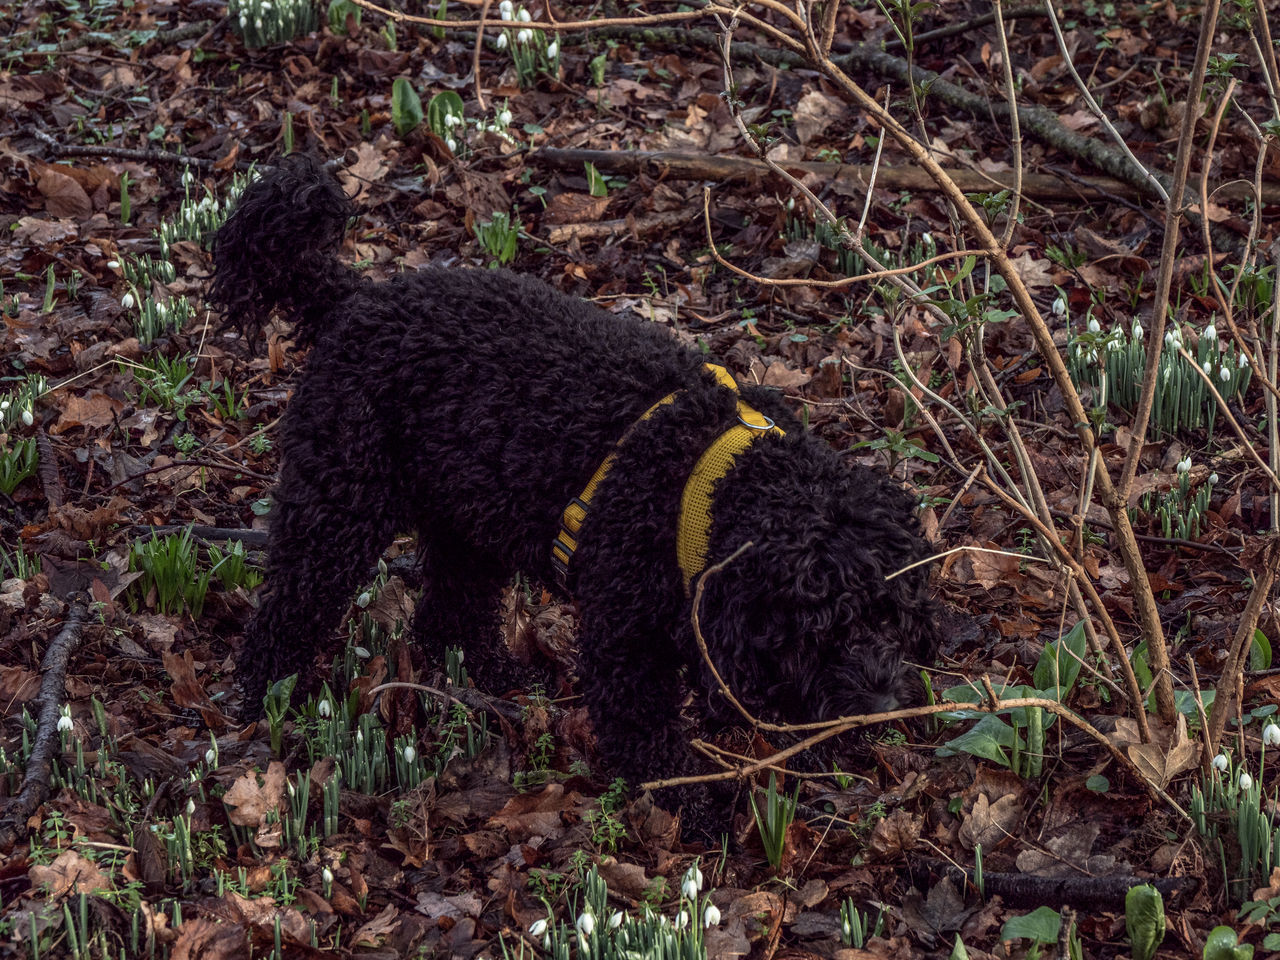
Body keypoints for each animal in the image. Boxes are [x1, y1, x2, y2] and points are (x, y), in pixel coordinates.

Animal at [212, 156, 942, 834]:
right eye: (821, 631)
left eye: (891, 619)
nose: (886, 709)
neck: (714, 480)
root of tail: (352, 298)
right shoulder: (626, 644)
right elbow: (647, 739)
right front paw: (693, 805)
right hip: (338, 504)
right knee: (291, 608)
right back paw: (266, 700)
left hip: (468, 518)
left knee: (449, 614)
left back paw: (500, 678)